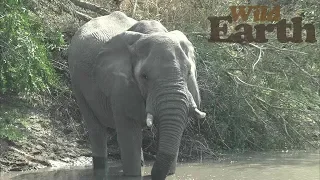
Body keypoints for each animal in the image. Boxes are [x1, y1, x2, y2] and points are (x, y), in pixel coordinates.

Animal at [68, 11, 206, 180]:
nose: (152, 175)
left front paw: (170, 174)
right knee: (96, 128)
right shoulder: (121, 86)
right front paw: (133, 175)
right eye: (144, 76)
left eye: (188, 73)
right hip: (76, 82)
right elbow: (129, 133)